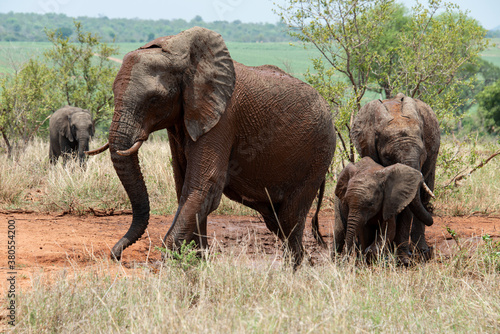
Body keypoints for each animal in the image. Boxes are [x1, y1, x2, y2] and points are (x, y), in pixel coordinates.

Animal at [86, 26, 336, 268]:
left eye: (155, 99)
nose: (116, 255)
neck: (181, 53)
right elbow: (185, 187)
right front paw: (197, 261)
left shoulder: (223, 119)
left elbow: (204, 185)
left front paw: (169, 264)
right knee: (277, 222)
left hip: (318, 155)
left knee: (289, 220)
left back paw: (291, 271)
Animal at [350, 92, 440, 260]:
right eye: (388, 157)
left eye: (423, 155)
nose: (432, 219)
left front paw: (403, 259)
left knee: (425, 195)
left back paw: (421, 252)